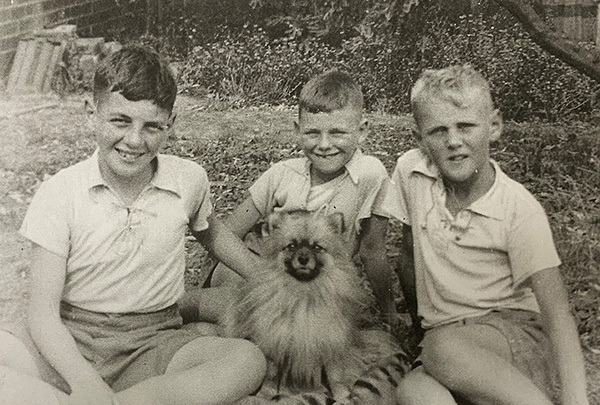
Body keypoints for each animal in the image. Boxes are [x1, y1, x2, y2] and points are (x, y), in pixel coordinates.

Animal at [220, 210, 408, 402]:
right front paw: (266, 395)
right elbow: (271, 377)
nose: (303, 258)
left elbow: (336, 377)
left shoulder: (330, 343)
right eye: (291, 246)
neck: (305, 292)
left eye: (317, 247)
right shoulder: (274, 344)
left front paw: (342, 396)